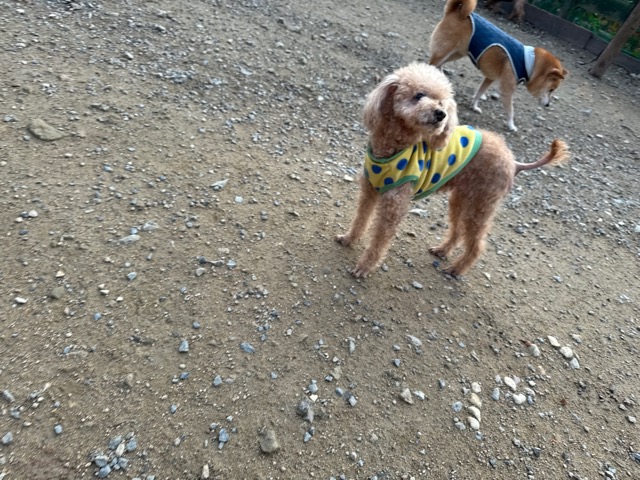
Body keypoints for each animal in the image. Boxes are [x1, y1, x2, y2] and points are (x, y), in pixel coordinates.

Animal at [335, 63, 568, 278]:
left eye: (441, 102)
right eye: (419, 95)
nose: (440, 114)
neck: (395, 146)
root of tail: (514, 161)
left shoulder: (394, 205)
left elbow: (379, 241)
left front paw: (364, 267)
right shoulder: (369, 190)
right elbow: (360, 219)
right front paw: (348, 239)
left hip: (481, 205)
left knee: (477, 244)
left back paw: (457, 269)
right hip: (461, 199)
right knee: (458, 231)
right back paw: (442, 250)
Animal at [429, 0, 567, 131]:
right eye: (551, 89)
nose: (548, 105)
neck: (529, 63)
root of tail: (457, 11)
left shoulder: (490, 78)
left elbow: (479, 93)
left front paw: (474, 106)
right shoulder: (507, 91)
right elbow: (510, 111)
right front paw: (511, 126)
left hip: (456, 53)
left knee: (440, 65)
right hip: (445, 51)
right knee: (432, 64)